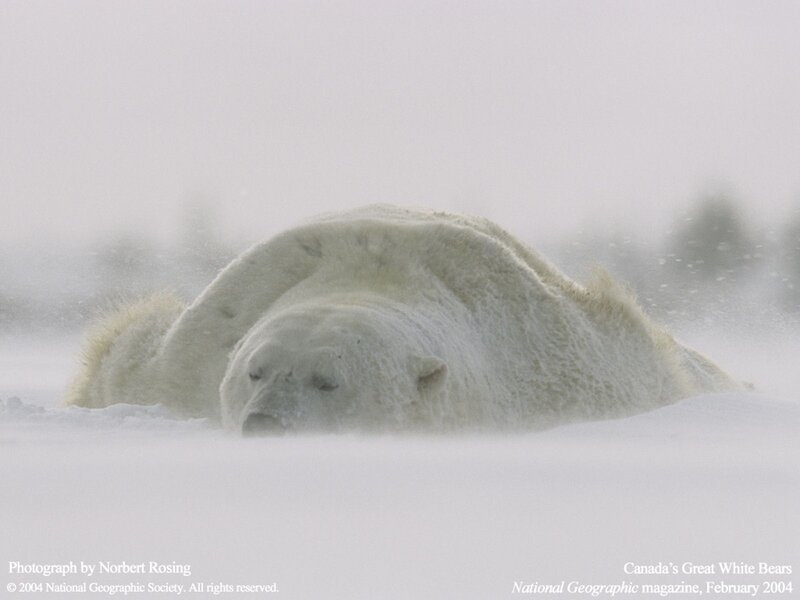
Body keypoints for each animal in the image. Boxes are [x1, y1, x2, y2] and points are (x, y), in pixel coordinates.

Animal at [66, 204, 742, 433]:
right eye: (255, 372)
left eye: (328, 381)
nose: (266, 425)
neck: (373, 271)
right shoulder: (187, 354)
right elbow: (120, 357)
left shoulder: (565, 374)